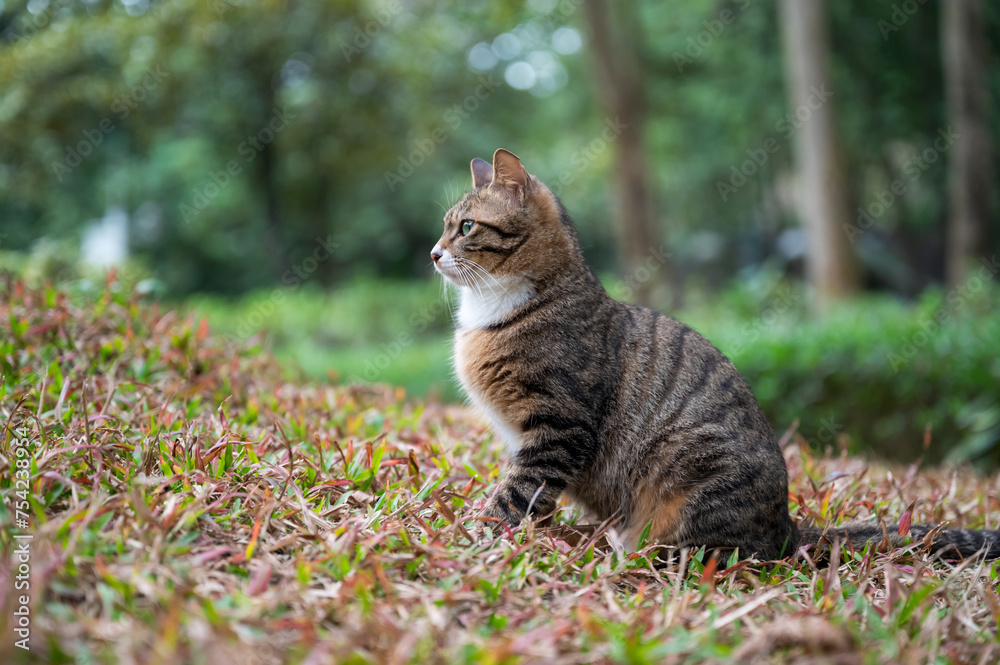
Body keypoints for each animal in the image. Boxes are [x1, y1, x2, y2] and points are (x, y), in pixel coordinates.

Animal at [430, 148, 1000, 556]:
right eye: (445, 226)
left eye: (466, 227)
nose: (433, 253)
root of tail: (786, 528)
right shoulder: (532, 439)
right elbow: (533, 495)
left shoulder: (558, 424)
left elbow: (516, 491)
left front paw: (481, 533)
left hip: (688, 471)